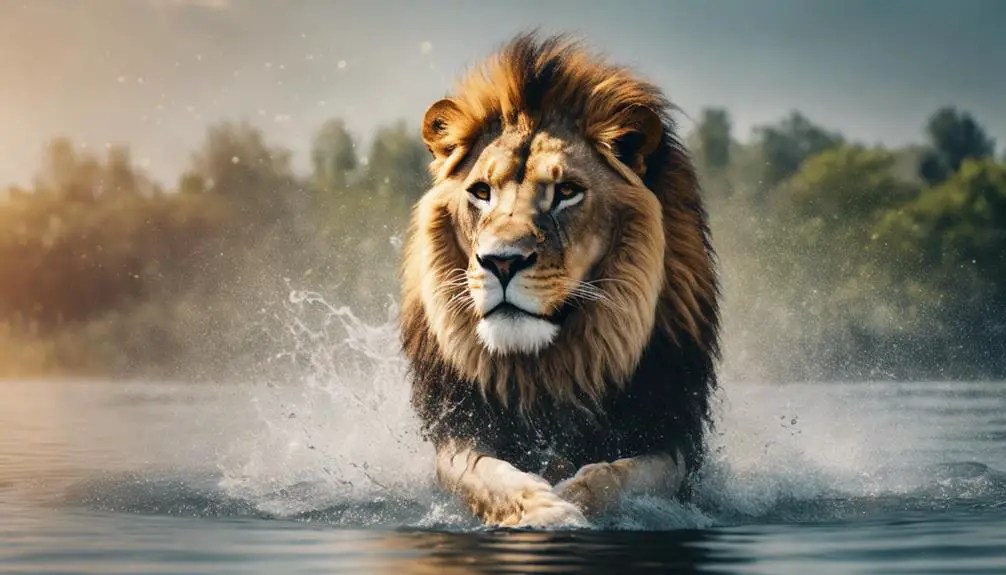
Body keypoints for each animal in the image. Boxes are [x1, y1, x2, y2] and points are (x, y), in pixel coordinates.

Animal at [400, 34, 719, 528]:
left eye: (567, 192)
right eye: (481, 192)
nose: (502, 262)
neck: (547, 369)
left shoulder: (671, 435)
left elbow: (617, 475)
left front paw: (573, 501)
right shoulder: (460, 428)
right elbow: (483, 474)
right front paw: (542, 507)